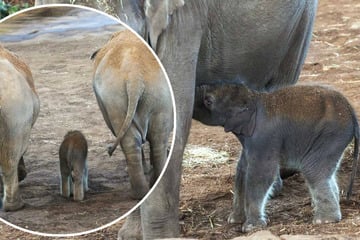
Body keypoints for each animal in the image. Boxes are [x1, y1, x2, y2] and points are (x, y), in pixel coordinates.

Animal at [90, 29, 174, 199]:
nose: (108, 149)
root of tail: (134, 77)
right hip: (150, 95)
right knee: (155, 139)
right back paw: (147, 188)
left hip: (119, 97)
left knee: (139, 140)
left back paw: (142, 191)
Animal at [195, 84, 358, 232]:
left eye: (208, 100)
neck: (253, 97)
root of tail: (352, 113)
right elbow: (242, 169)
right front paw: (235, 220)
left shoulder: (265, 138)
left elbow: (261, 174)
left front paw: (250, 227)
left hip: (330, 135)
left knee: (313, 170)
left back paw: (324, 221)